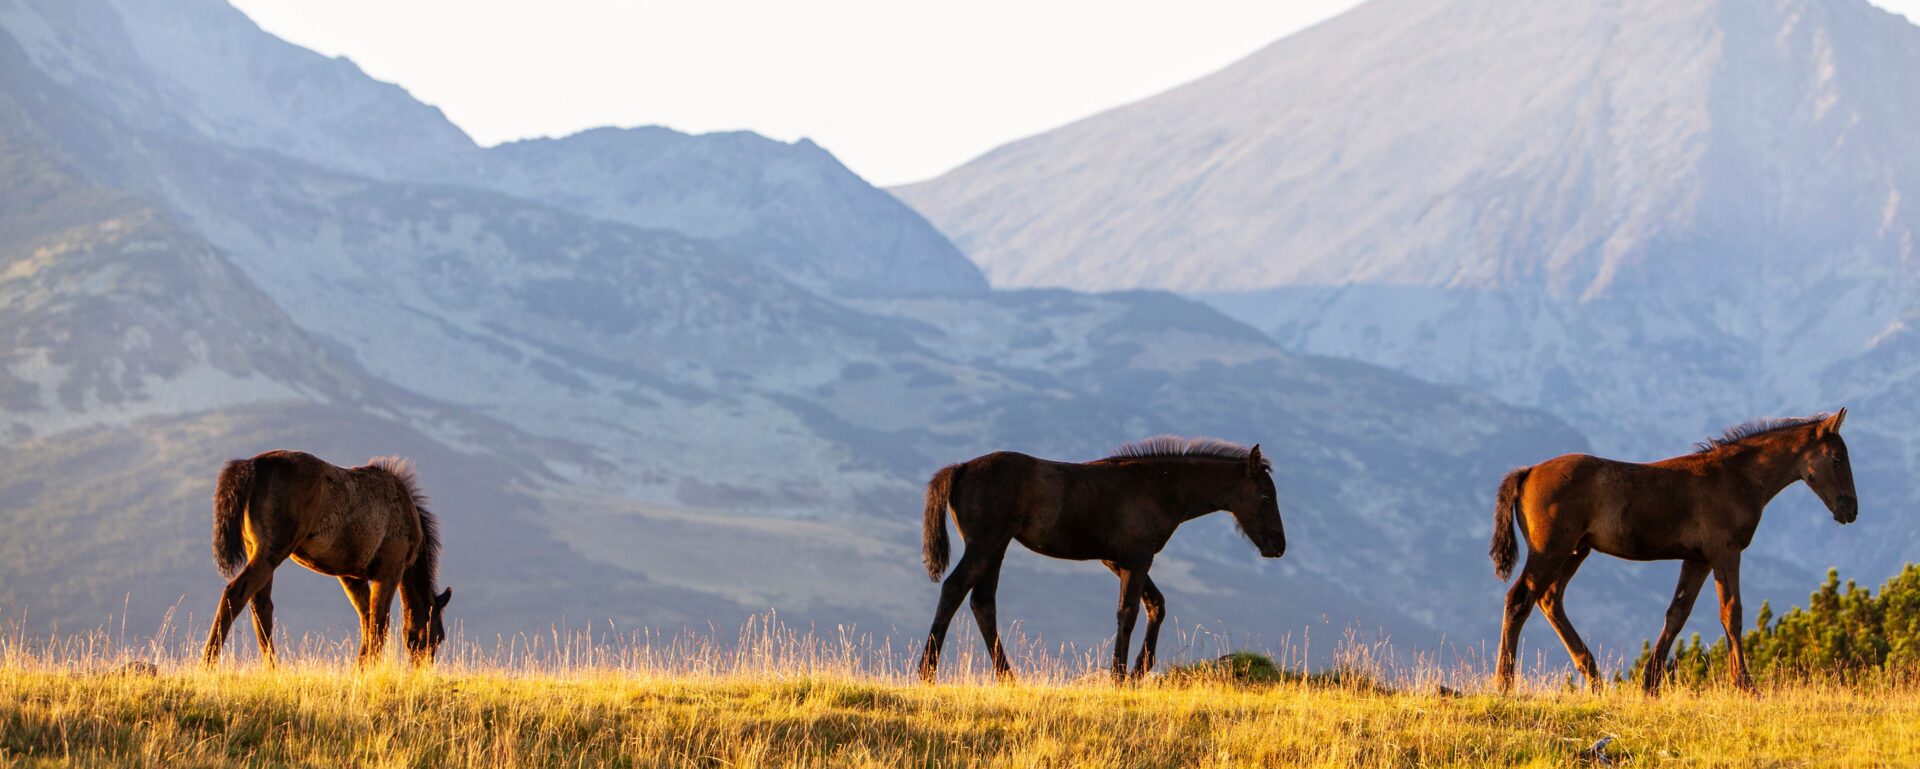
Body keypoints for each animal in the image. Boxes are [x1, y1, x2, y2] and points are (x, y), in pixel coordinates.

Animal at [201, 450, 454, 668]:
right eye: (438, 636)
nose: (422, 669)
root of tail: (252, 466)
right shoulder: (390, 572)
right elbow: (379, 624)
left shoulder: (351, 577)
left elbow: (367, 621)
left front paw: (360, 669)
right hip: (271, 551)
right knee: (235, 594)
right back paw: (207, 663)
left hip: (258, 550)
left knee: (261, 608)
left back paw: (273, 670)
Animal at [917, 436, 1287, 683]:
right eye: (1266, 497)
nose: (1278, 546)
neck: (1159, 487)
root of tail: (961, 468)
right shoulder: (1138, 558)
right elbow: (1129, 612)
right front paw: (1120, 675)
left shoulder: (1118, 561)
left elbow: (1156, 604)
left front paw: (1139, 670)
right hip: (984, 544)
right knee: (954, 589)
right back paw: (927, 672)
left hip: (997, 547)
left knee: (983, 603)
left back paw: (1009, 678)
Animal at [1490, 409, 1857, 694]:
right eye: (1838, 458)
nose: (1850, 510)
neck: (1737, 477)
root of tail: (1527, 473)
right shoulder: (1725, 551)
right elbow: (1731, 613)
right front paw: (1746, 685)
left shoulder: (1697, 559)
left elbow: (1677, 613)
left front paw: (1650, 683)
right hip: (1551, 550)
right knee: (1519, 599)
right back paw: (1504, 684)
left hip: (1575, 551)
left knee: (1549, 598)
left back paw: (1594, 678)